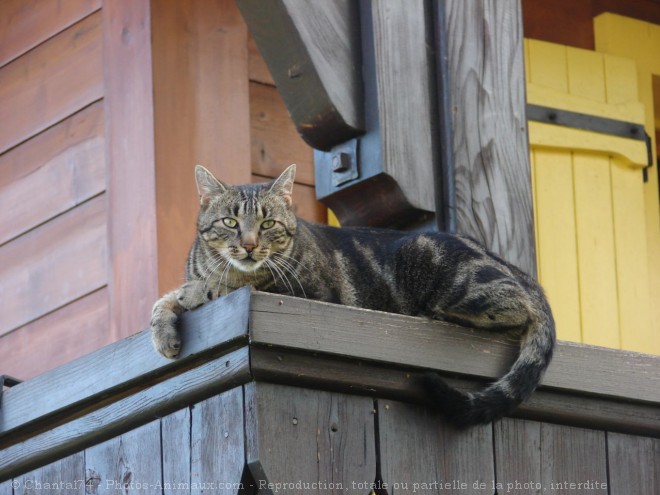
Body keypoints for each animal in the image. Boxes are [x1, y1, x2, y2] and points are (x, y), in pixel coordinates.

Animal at [152, 166, 556, 426]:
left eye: (267, 224)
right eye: (230, 222)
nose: (250, 246)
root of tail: (520, 272)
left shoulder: (302, 291)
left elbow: (215, 288)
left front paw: (198, 293)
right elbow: (167, 299)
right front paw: (164, 332)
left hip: (433, 262)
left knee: (515, 310)